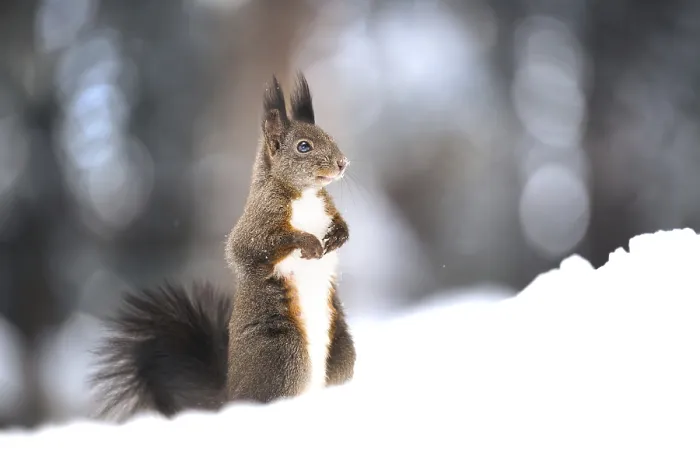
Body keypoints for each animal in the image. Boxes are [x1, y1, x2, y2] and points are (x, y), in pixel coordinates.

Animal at [91, 73, 355, 421]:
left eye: (329, 135)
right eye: (303, 146)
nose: (343, 163)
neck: (305, 194)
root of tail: (230, 398)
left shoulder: (328, 207)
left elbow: (340, 224)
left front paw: (337, 236)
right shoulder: (256, 223)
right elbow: (253, 247)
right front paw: (309, 242)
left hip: (341, 352)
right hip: (285, 355)